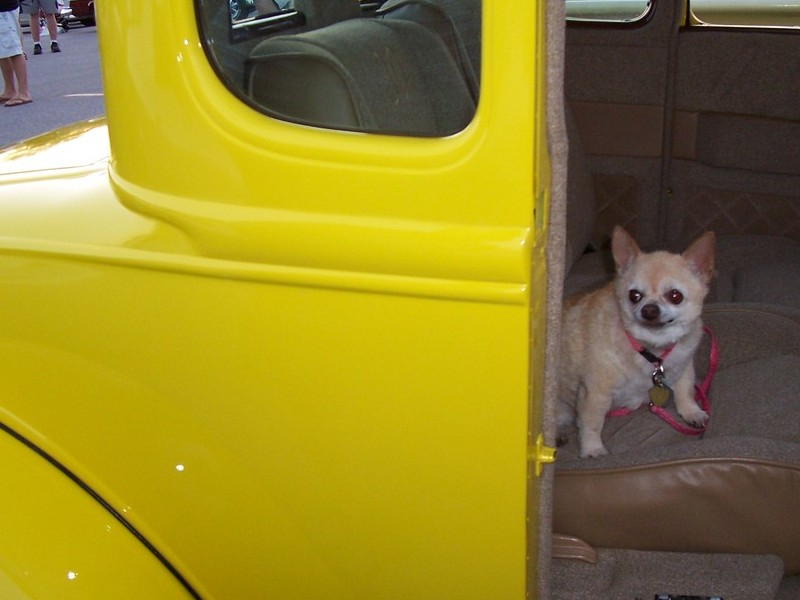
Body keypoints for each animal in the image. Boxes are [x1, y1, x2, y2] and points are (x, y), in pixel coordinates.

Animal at [560, 227, 716, 458]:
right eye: (634, 295)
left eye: (675, 296)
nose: (649, 309)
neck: (650, 348)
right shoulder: (595, 394)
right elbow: (592, 423)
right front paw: (592, 449)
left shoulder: (684, 365)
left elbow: (685, 390)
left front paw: (692, 411)